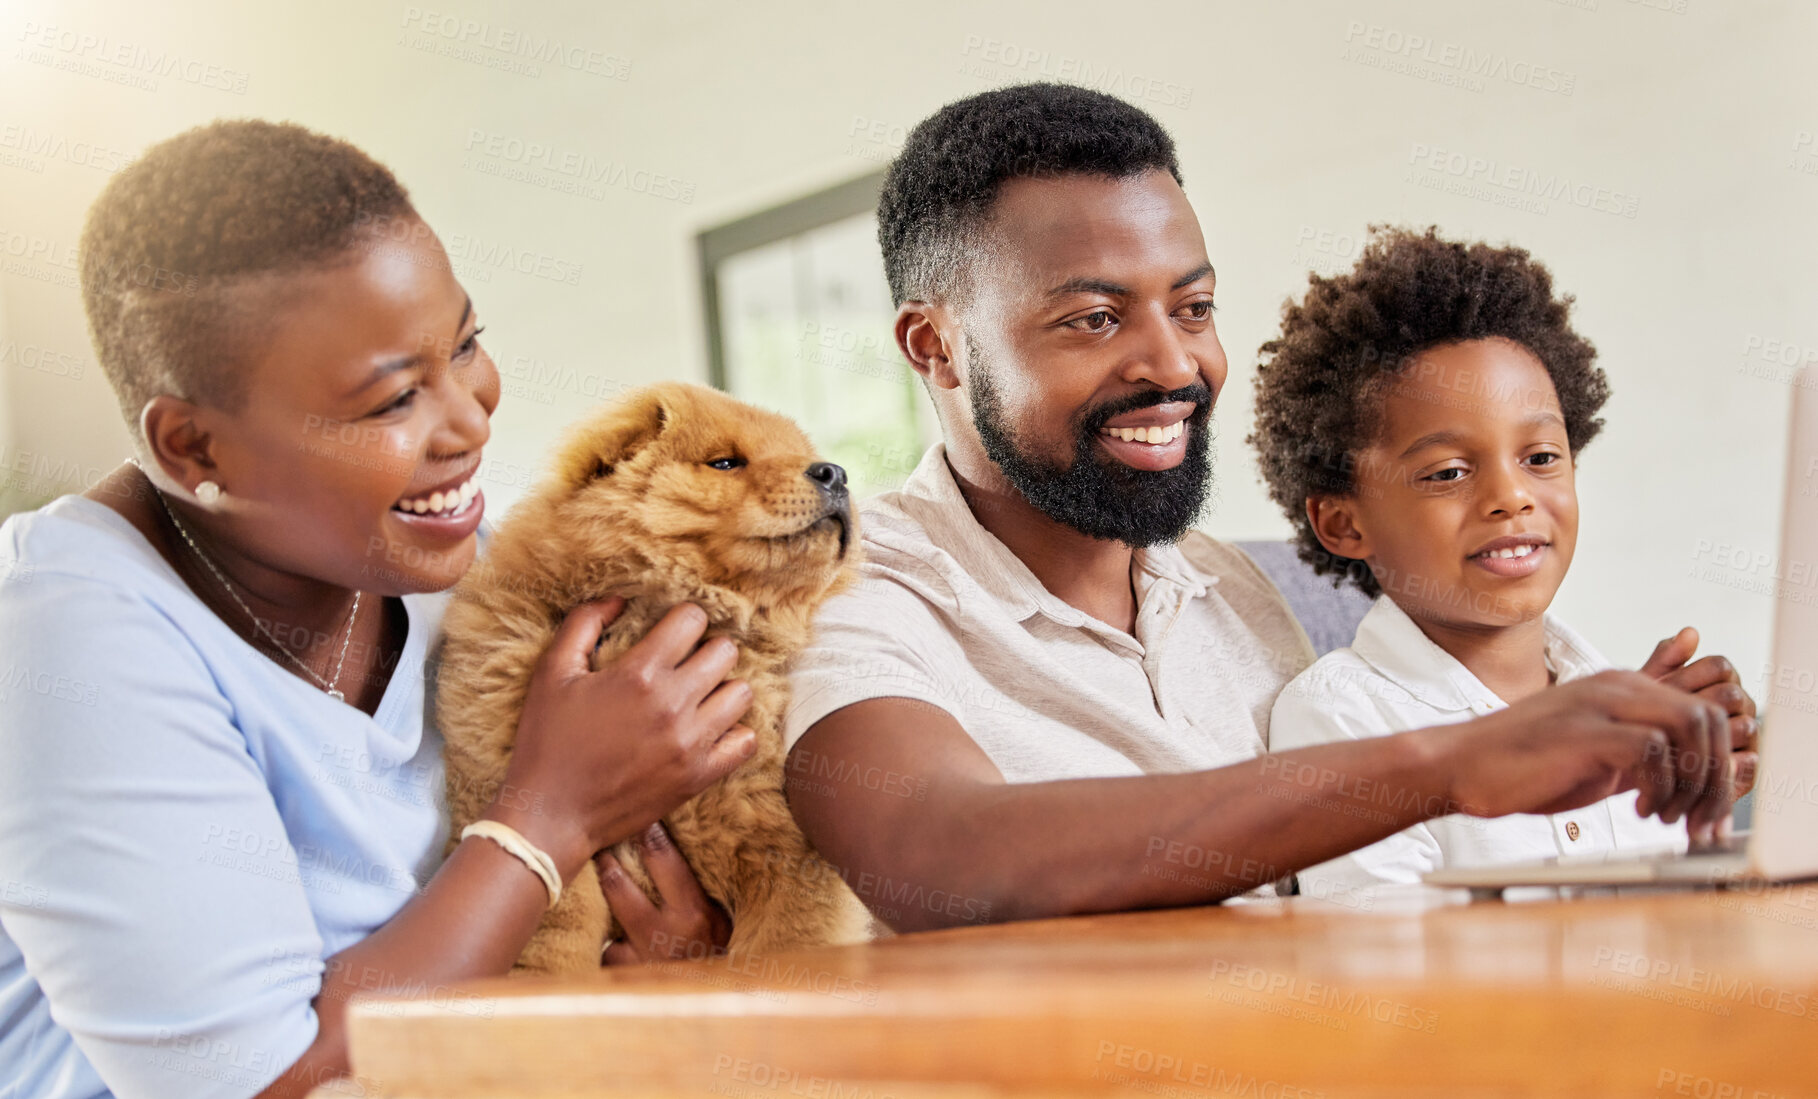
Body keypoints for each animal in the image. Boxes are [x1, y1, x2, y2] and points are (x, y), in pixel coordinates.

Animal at [436, 381, 869, 973]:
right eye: (726, 462)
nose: (835, 472)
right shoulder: (522, 797)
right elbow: (557, 930)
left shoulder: (778, 842)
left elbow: (786, 942)